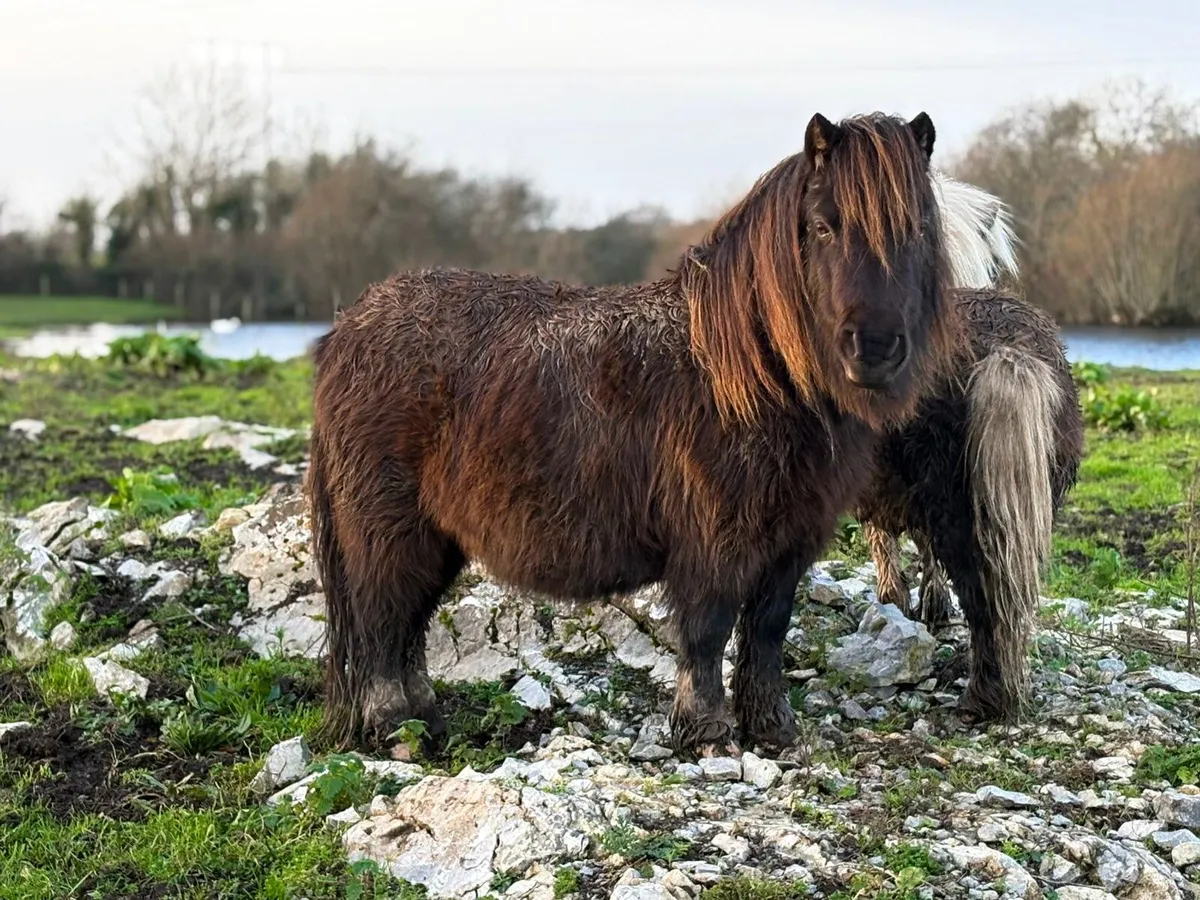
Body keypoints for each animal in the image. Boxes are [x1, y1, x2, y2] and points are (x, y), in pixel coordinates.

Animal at [307, 110, 959, 756]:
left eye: (920, 229)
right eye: (823, 226)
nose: (874, 348)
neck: (749, 374)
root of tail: (347, 330)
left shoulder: (790, 542)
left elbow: (768, 630)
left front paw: (773, 729)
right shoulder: (714, 541)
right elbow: (708, 631)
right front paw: (709, 734)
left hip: (436, 541)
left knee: (407, 628)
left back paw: (428, 725)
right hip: (390, 535)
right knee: (383, 625)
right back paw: (398, 730)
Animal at [855, 175, 1084, 721]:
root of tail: (1010, 351)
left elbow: (886, 543)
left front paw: (893, 605)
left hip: (957, 507)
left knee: (984, 598)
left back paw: (983, 699)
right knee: (1011, 596)